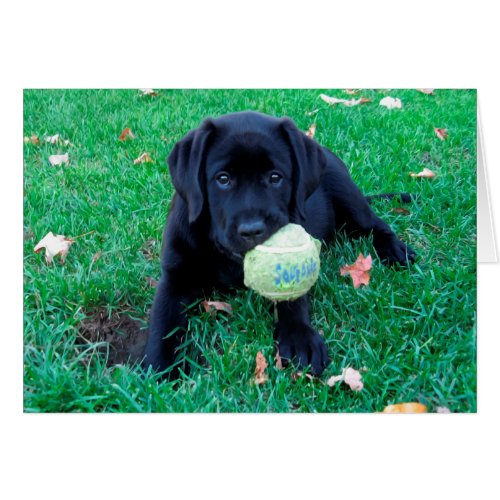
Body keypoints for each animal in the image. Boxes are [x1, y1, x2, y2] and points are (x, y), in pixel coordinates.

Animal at [144, 109, 414, 376]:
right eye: (223, 179)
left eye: (275, 177)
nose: (252, 230)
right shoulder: (175, 277)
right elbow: (162, 324)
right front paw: (159, 367)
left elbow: (293, 297)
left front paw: (299, 337)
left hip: (347, 194)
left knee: (374, 224)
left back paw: (395, 250)